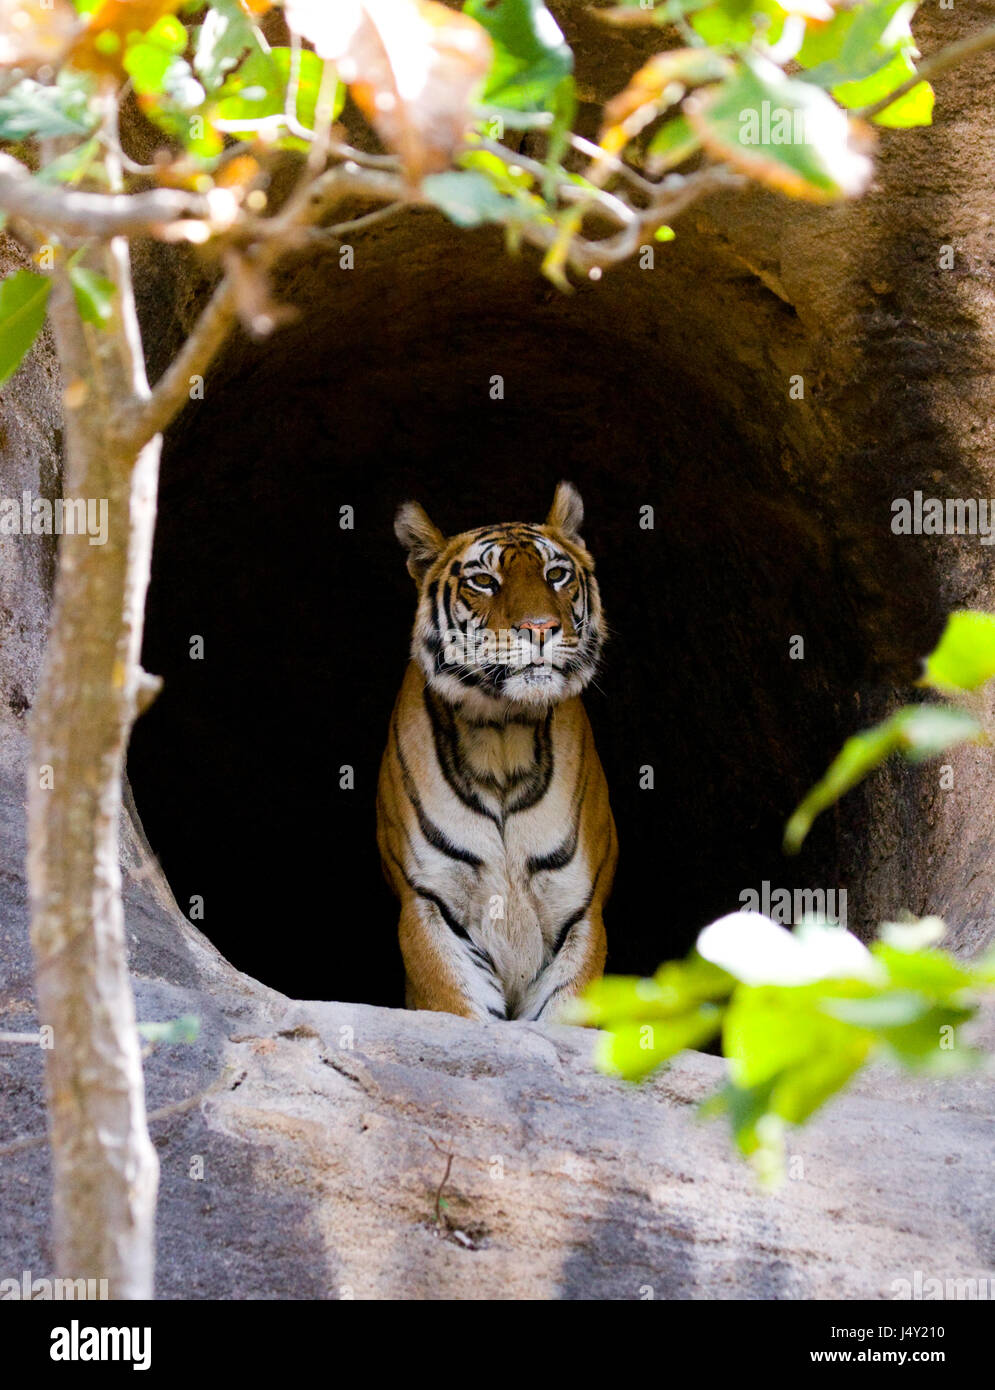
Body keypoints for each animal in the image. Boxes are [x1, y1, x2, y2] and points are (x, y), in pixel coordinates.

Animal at [377, 483, 617, 1028]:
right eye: (484, 581)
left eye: (556, 574)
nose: (540, 627)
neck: (504, 736)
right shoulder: (430, 904)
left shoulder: (580, 913)